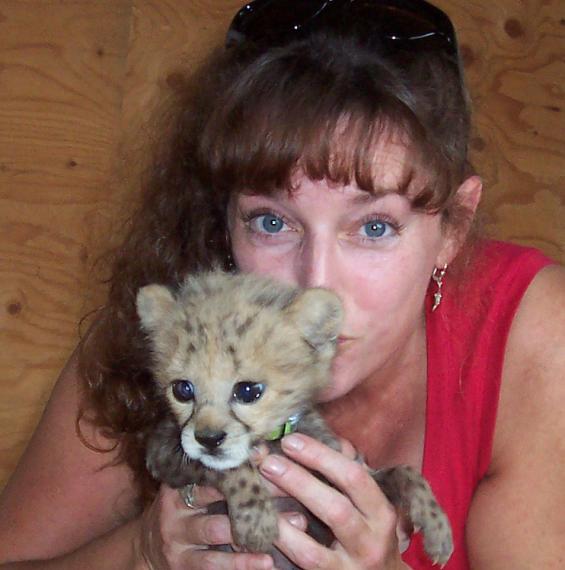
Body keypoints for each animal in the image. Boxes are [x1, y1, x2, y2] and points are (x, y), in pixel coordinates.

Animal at [137, 270, 453, 566]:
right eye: (182, 390)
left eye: (248, 391)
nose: (208, 439)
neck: (274, 438)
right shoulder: (164, 453)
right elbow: (233, 468)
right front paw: (256, 519)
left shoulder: (345, 483)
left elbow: (404, 472)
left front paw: (437, 527)